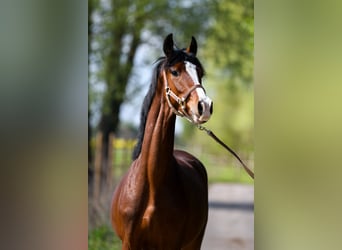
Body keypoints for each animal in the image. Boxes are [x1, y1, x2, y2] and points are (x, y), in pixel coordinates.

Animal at [111, 33, 214, 250]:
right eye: (175, 71)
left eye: (200, 73)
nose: (205, 106)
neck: (152, 183)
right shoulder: (129, 244)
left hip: (194, 242)